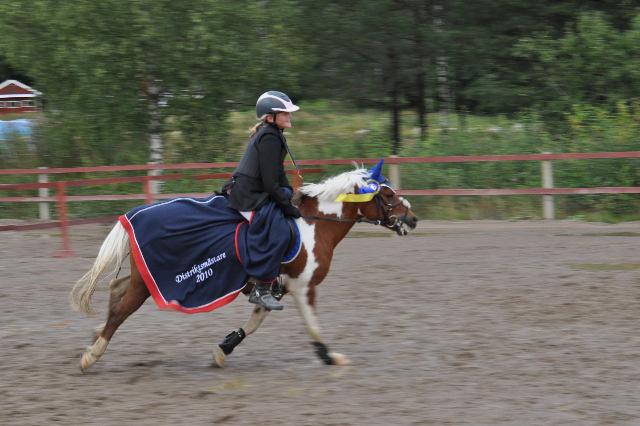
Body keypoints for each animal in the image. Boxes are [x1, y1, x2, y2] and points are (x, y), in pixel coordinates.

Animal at [71, 165, 420, 372]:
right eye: (387, 193)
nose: (412, 219)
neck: (314, 225)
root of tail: (135, 213)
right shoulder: (303, 287)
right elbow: (313, 326)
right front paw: (329, 357)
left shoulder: (274, 288)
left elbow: (253, 324)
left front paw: (223, 348)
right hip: (148, 283)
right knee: (121, 310)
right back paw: (93, 353)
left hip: (142, 278)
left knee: (115, 290)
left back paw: (96, 333)